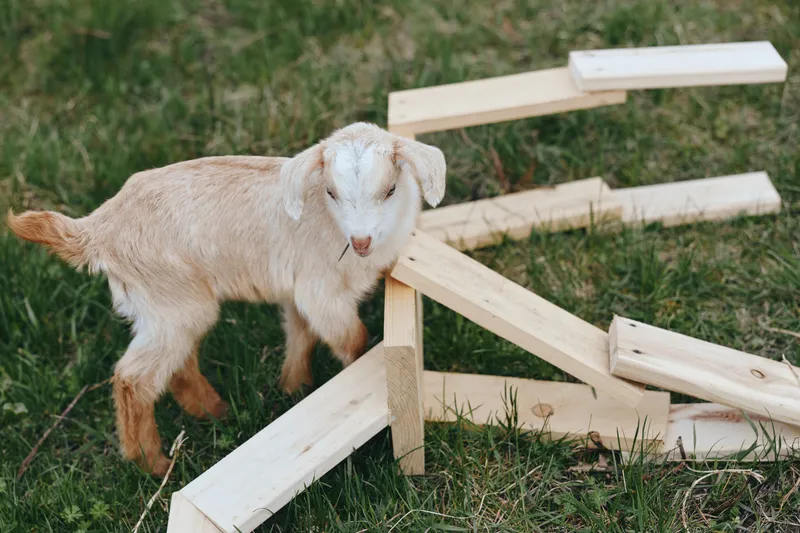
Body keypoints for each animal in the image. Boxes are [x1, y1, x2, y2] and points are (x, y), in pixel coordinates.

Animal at [7, 122, 446, 476]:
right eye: (331, 192)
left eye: (390, 189)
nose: (361, 242)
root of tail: (97, 229)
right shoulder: (322, 291)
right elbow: (353, 340)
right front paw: (356, 385)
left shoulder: (296, 289)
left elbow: (300, 335)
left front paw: (293, 386)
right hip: (175, 301)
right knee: (133, 378)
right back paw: (152, 463)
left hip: (164, 307)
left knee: (176, 366)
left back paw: (213, 412)